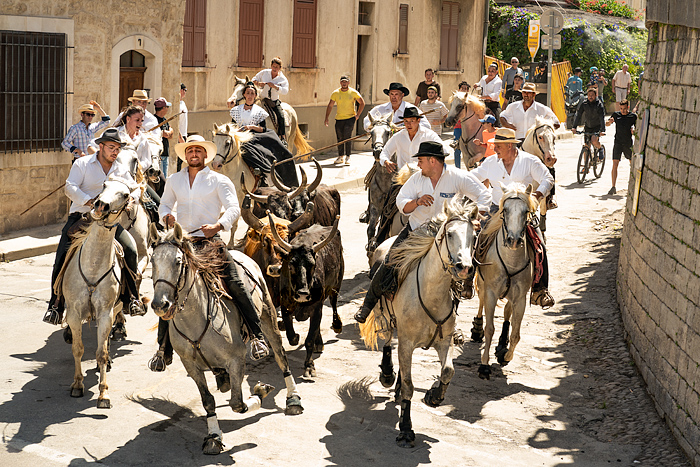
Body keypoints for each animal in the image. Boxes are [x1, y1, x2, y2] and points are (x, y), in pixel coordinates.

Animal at [57, 181, 134, 408]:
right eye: (104, 185)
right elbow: (78, 349)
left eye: (125, 194)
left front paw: (103, 394)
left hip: (114, 310)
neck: (93, 266)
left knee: (106, 340)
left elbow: (101, 352)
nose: (100, 205)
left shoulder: (105, 312)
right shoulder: (74, 313)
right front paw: (77, 385)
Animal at [150, 225, 304, 456]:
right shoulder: (191, 366)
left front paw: (260, 391)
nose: (160, 304)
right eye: (152, 261)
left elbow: (237, 403)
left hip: (268, 317)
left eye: (178, 262)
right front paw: (213, 437)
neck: (196, 318)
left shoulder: (236, 361)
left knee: (281, 357)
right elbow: (208, 401)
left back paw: (293, 399)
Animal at [360, 199, 482, 448]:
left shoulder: (444, 342)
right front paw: (406, 429)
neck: (430, 293)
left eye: (473, 235)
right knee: (387, 341)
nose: (464, 267)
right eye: (449, 234)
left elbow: (448, 371)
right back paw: (387, 375)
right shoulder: (407, 343)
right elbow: (409, 384)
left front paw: (434, 397)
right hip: (383, 316)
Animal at [474, 182, 540, 380]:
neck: (510, 261)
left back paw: (502, 344)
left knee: (507, 313)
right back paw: (476, 329)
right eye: (506, 210)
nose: (513, 240)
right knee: (481, 302)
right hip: (483, 285)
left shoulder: (520, 298)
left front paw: (505, 355)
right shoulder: (491, 292)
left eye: (526, 211)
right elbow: (489, 329)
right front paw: (484, 365)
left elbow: (516, 334)